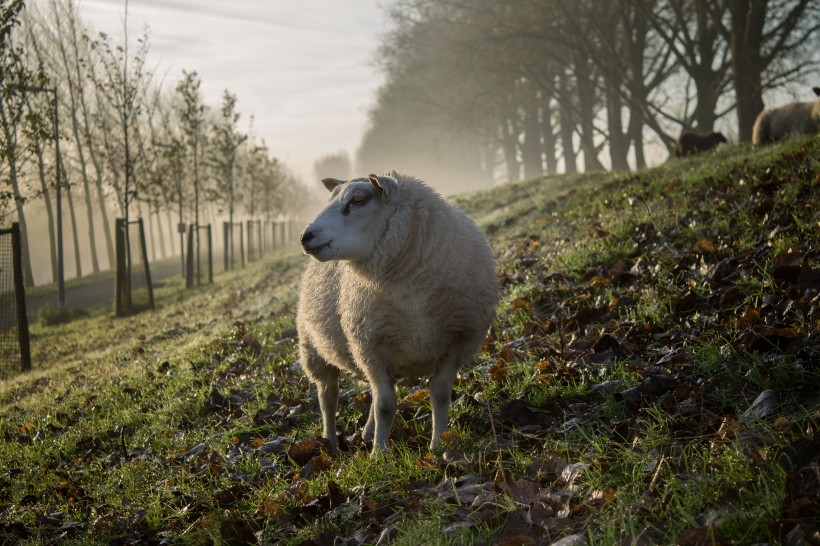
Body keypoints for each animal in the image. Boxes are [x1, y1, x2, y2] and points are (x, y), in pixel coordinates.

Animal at [298, 172, 496, 452]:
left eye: (358, 200)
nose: (306, 236)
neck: (413, 296)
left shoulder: (458, 341)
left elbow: (439, 394)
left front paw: (438, 445)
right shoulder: (371, 347)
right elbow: (385, 405)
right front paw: (380, 454)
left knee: (368, 392)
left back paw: (368, 433)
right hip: (313, 349)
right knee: (328, 396)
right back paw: (331, 443)